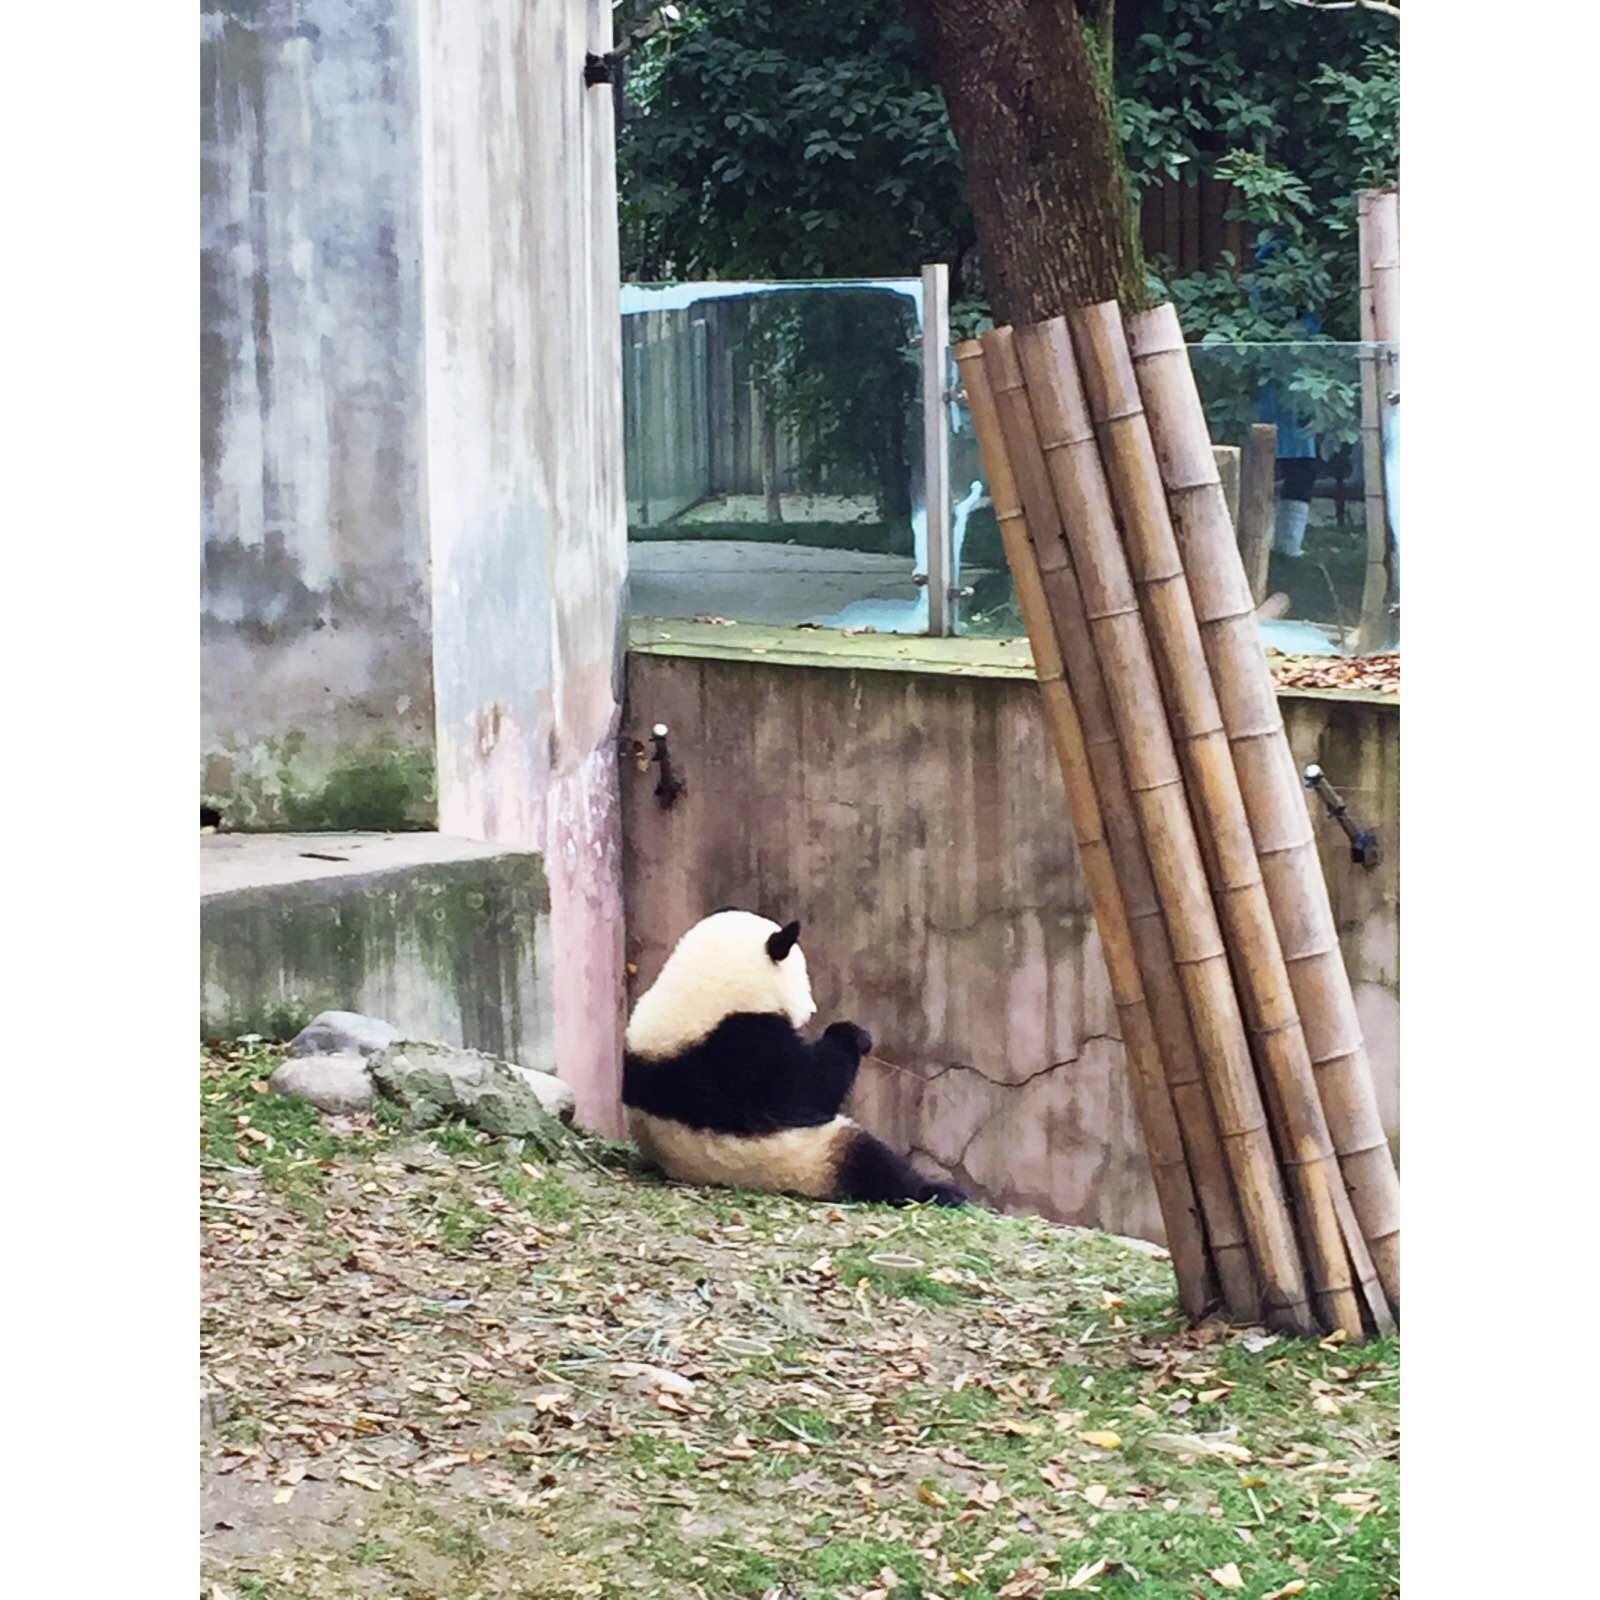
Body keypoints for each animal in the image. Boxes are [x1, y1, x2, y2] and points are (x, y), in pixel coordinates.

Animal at [624, 915, 960, 1203]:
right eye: (803, 976)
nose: (811, 1009)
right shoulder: (746, 1052)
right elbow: (810, 1087)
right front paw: (852, 1036)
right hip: (807, 1156)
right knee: (871, 1163)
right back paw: (938, 1191)